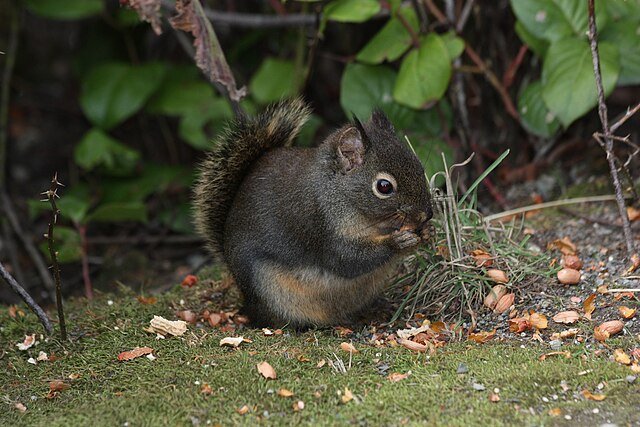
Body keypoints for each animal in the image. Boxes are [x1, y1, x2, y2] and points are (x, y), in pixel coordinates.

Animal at [192, 99, 432, 328]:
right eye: (384, 187)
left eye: (420, 167)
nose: (426, 215)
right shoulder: (320, 225)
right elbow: (349, 260)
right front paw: (397, 242)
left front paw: (427, 233)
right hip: (270, 291)